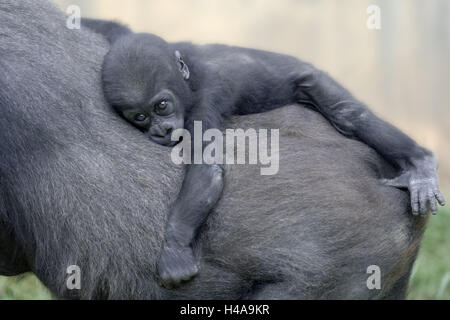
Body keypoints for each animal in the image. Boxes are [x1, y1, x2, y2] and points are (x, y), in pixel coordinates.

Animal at [0, 0, 426, 300]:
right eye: (140, 117)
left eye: (162, 106)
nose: (161, 130)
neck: (187, 78)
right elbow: (120, 30)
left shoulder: (203, 101)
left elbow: (205, 169)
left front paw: (173, 248)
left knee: (349, 114)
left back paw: (418, 163)